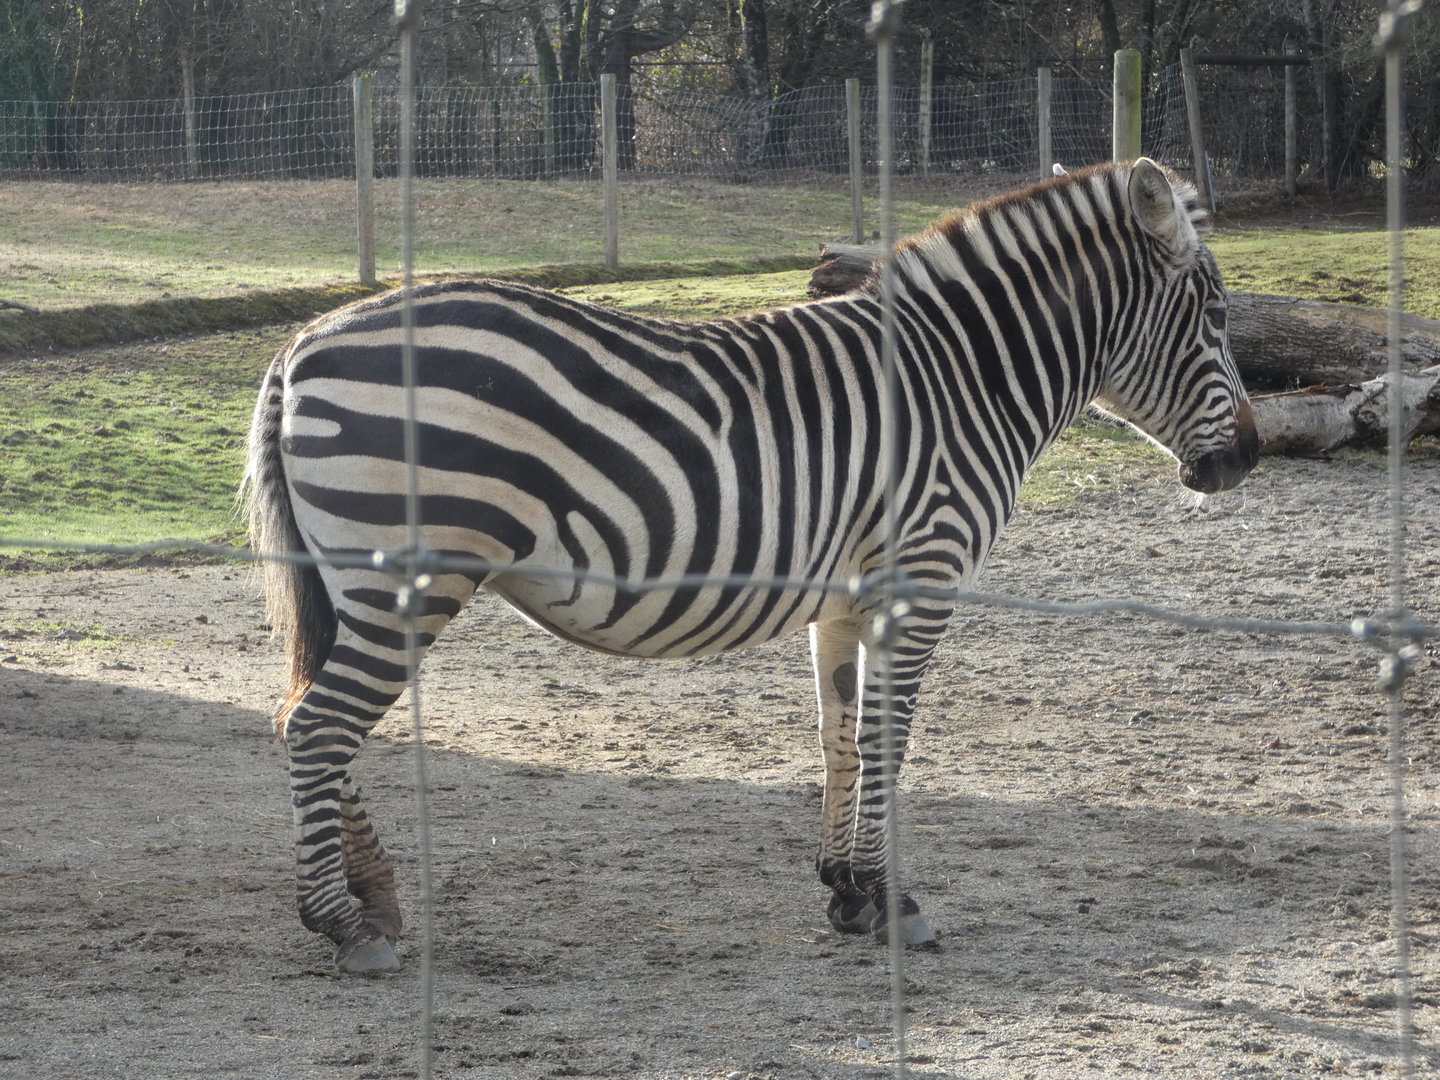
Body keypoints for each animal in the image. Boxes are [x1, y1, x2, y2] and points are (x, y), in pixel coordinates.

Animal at [243, 158, 1258, 973]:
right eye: (1213, 315)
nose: (1249, 458)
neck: (960, 378)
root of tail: (301, 345)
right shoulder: (922, 572)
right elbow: (890, 735)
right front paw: (893, 903)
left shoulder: (846, 593)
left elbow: (842, 730)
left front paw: (847, 892)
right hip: (404, 580)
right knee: (319, 727)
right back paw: (343, 924)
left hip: (355, 584)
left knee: (299, 715)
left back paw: (375, 899)